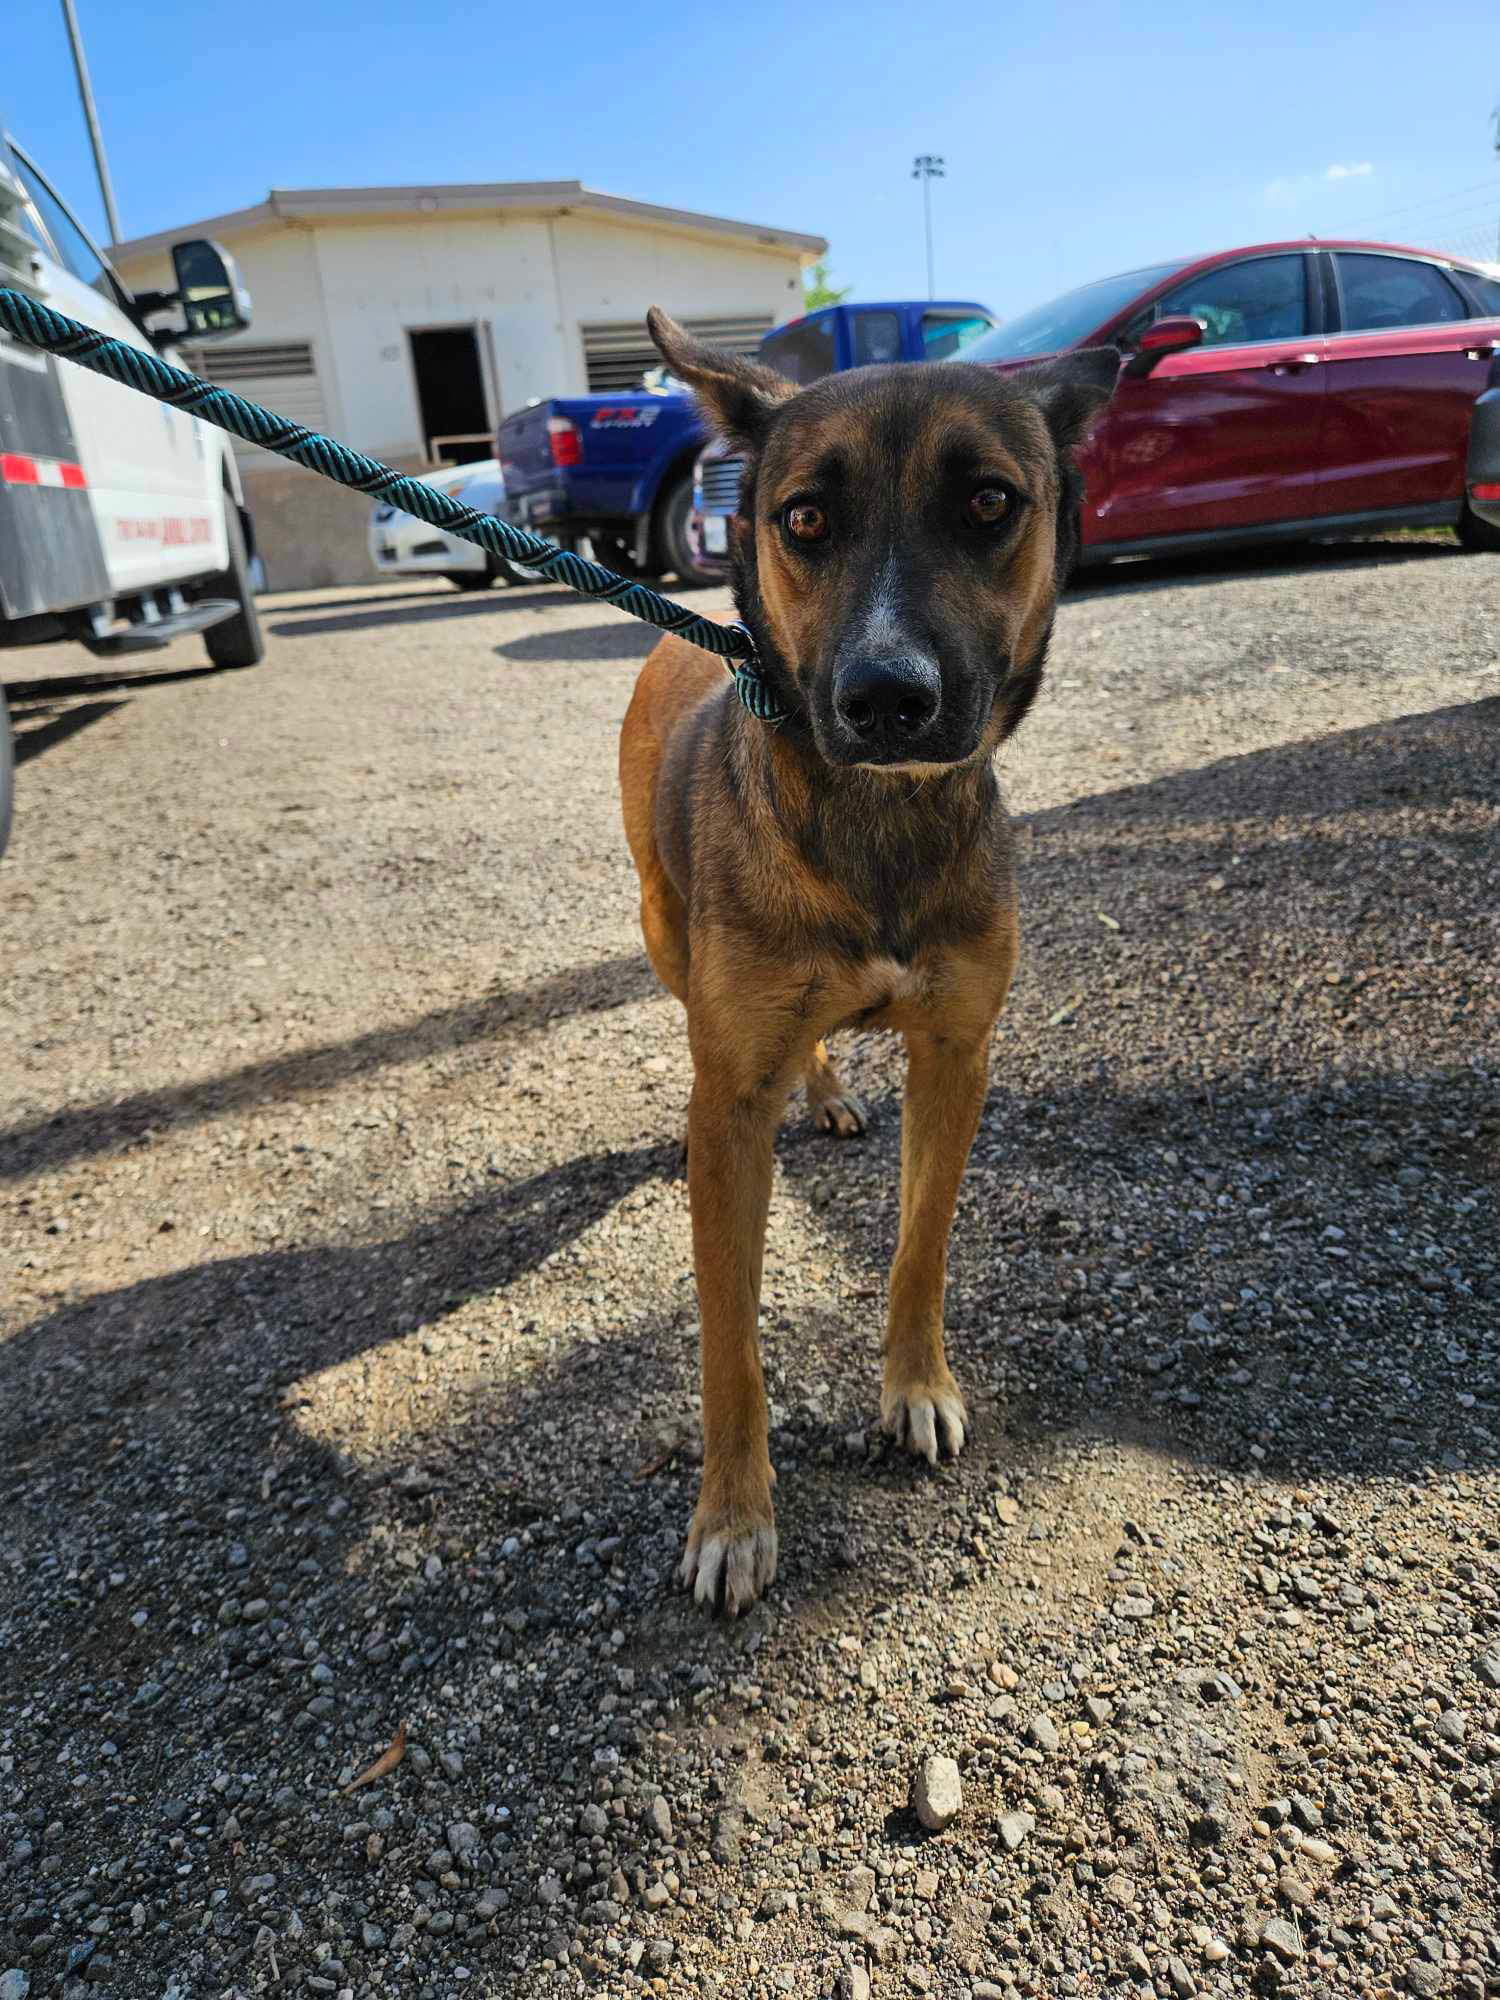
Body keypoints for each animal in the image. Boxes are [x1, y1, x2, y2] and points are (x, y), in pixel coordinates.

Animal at [616, 308, 1120, 1608]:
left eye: (990, 501)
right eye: (802, 519)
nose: (886, 698)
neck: (879, 825)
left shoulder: (959, 1053)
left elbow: (919, 1246)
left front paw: (917, 1388)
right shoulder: (728, 1105)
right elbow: (729, 1343)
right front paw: (733, 1514)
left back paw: (831, 1089)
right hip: (666, 935)